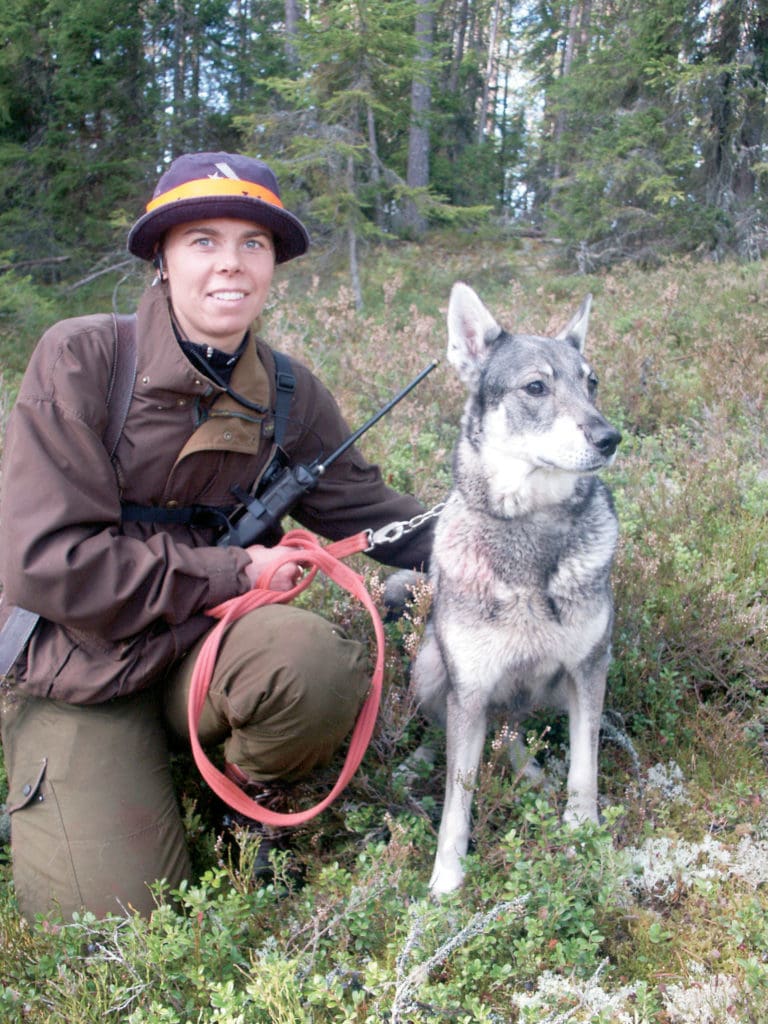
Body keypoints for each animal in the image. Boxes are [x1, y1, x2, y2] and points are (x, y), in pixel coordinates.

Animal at [403, 282, 618, 897]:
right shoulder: (470, 688)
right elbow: (457, 798)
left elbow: (584, 768)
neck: (530, 529)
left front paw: (582, 832)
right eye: (536, 387)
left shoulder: (589, 669)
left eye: (591, 382)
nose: (610, 437)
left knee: (516, 733)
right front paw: (445, 882)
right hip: (432, 667)